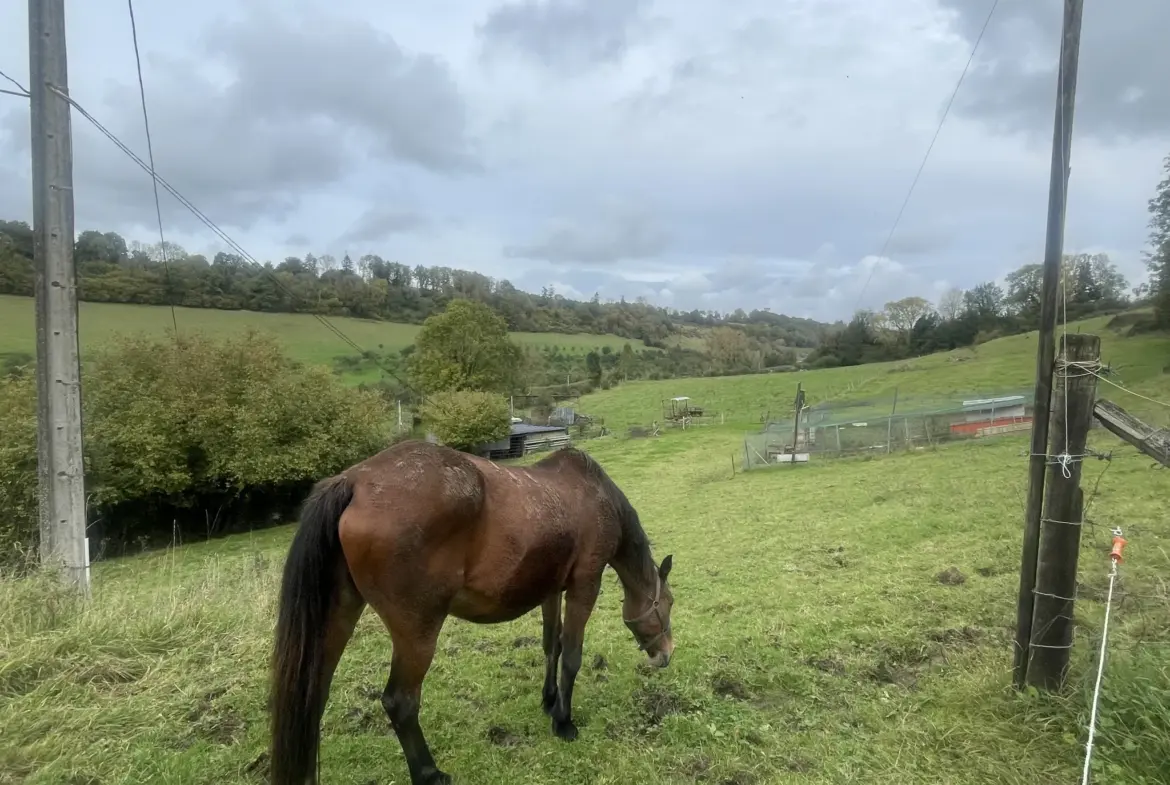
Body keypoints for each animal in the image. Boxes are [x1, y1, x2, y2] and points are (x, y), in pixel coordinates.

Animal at [267, 439, 673, 781]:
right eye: (667, 604)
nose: (666, 655)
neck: (593, 494)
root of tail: (354, 481)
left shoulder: (551, 590)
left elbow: (551, 646)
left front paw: (549, 700)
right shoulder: (584, 586)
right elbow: (571, 656)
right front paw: (564, 722)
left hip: (339, 615)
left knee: (312, 696)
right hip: (417, 632)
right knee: (400, 702)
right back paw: (429, 774)